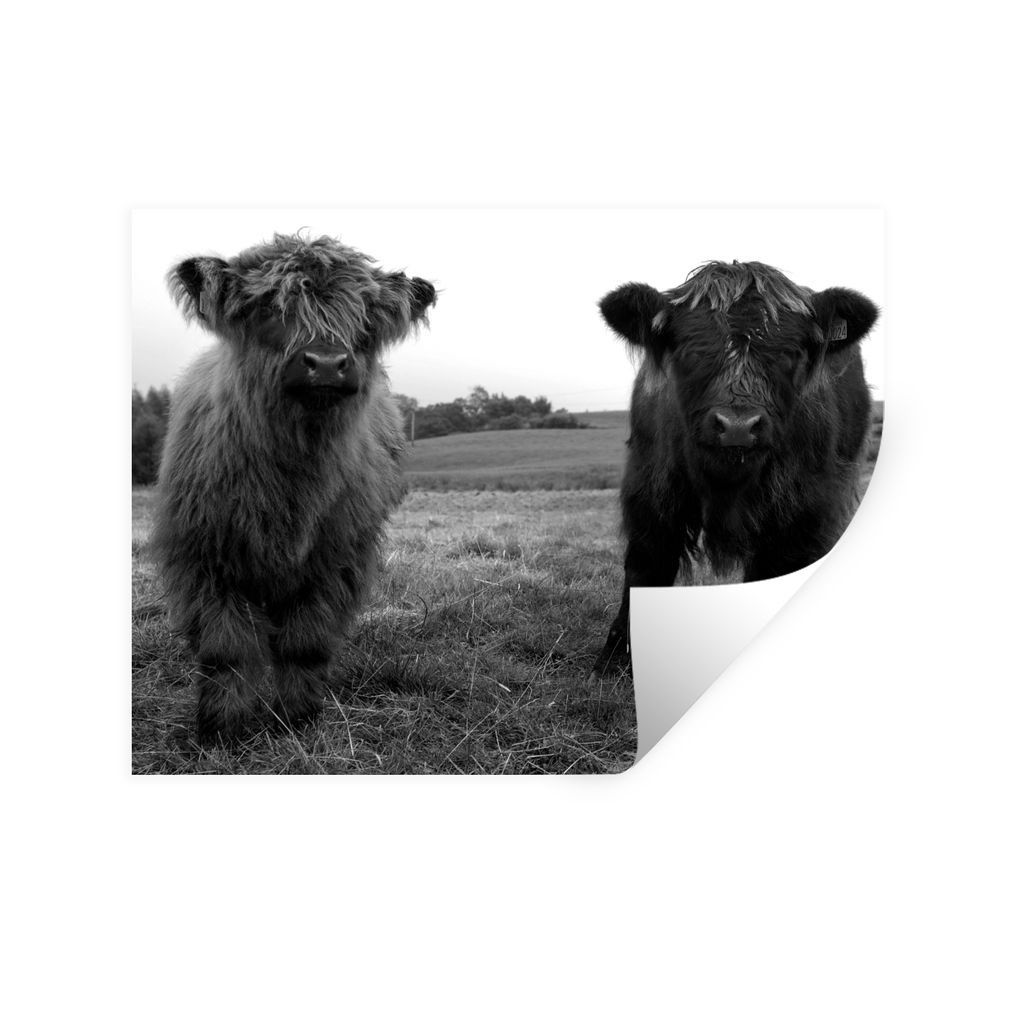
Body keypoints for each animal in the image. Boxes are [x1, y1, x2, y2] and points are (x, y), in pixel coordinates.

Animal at [152, 232, 436, 740]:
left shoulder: (335, 561)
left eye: (364, 317)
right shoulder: (204, 558)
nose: (325, 363)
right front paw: (221, 729)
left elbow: (305, 643)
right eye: (269, 308)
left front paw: (297, 718)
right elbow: (225, 650)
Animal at [592, 260, 878, 675]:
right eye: (690, 350)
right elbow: (645, 567)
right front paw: (616, 659)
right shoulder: (651, 491)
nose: (738, 426)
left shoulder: (804, 514)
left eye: (791, 352)